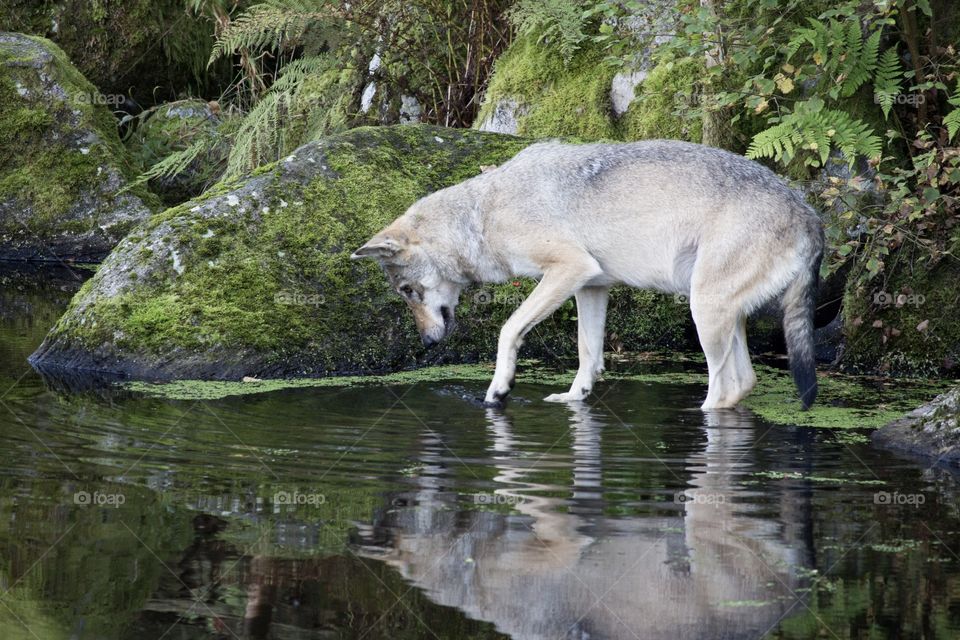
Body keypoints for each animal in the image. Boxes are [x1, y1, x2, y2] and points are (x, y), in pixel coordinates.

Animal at [352, 139, 824, 410]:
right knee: (745, 383)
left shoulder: (569, 269)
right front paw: (574, 396)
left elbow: (508, 329)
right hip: (722, 317)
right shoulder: (592, 286)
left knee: (724, 390)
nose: (428, 344)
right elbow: (588, 353)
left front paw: (500, 388)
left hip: (703, 310)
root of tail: (809, 215)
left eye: (408, 291)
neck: (481, 218)